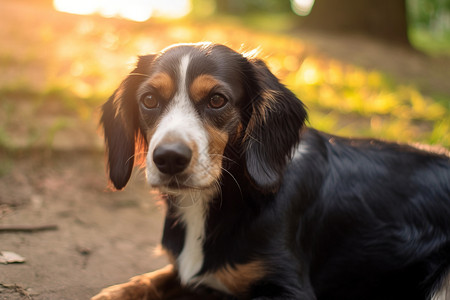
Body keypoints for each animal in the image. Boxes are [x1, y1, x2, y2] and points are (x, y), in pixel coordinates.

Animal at [92, 42, 450, 300]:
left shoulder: (290, 289)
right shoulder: (182, 269)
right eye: (149, 100)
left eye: (217, 100)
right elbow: (145, 280)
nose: (168, 158)